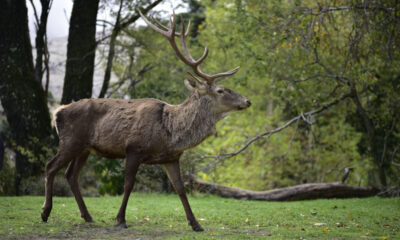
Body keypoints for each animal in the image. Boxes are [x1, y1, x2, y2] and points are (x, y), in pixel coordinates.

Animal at [40, 10, 250, 232]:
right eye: (220, 90)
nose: (247, 101)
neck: (169, 133)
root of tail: (58, 112)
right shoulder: (133, 149)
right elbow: (128, 185)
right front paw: (121, 219)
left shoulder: (171, 158)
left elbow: (180, 189)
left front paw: (196, 224)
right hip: (71, 140)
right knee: (50, 166)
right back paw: (45, 212)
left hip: (85, 148)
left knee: (71, 175)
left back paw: (87, 216)